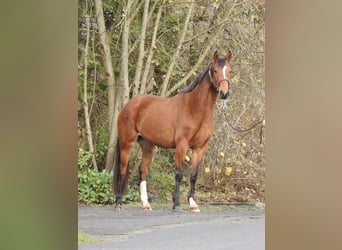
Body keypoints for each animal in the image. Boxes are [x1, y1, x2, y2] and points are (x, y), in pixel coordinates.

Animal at [112, 51, 232, 213]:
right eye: (215, 71)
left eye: (230, 71)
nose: (224, 93)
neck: (195, 109)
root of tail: (128, 105)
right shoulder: (181, 146)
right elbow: (179, 174)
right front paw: (177, 204)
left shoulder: (200, 148)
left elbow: (193, 175)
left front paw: (193, 204)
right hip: (127, 143)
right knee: (123, 170)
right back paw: (118, 203)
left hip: (147, 146)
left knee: (143, 170)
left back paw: (146, 204)